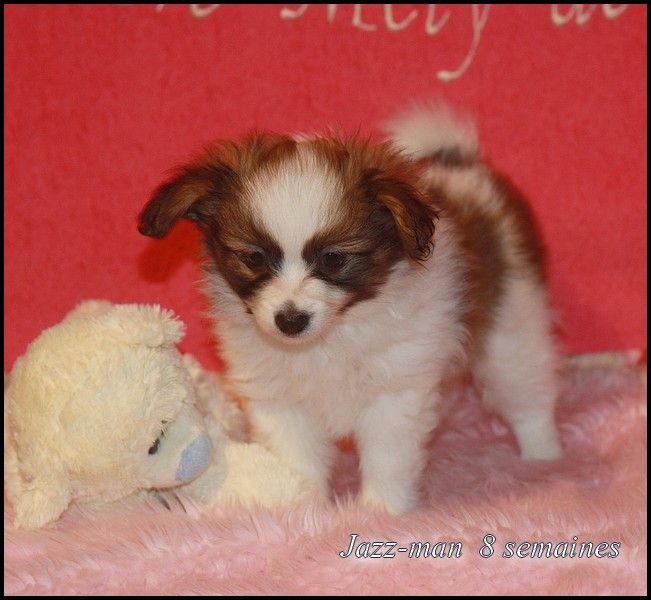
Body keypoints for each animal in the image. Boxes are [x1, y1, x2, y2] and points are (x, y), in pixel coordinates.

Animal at [138, 102, 563, 515]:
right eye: (255, 258)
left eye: (333, 259)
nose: (290, 320)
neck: (332, 336)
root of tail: (463, 167)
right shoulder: (282, 402)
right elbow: (299, 460)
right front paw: (301, 510)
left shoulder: (394, 393)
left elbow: (388, 458)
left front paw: (382, 510)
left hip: (511, 324)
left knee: (525, 388)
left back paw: (543, 453)